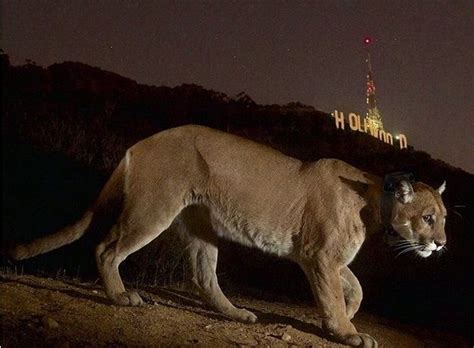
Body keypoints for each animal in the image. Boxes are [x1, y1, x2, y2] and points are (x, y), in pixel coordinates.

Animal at [10, 124, 448, 346]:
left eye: (444, 219)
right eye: (428, 217)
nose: (442, 243)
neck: (373, 200)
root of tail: (141, 141)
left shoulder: (326, 258)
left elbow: (356, 287)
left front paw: (346, 316)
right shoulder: (320, 256)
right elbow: (338, 294)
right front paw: (346, 331)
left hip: (200, 225)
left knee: (203, 276)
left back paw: (236, 312)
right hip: (154, 209)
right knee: (107, 248)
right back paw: (121, 297)